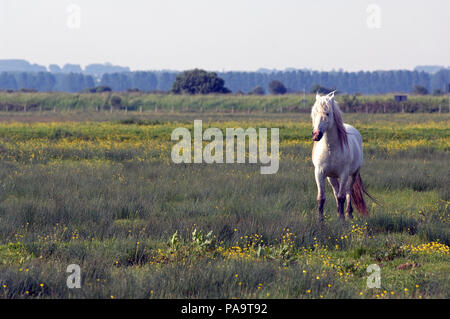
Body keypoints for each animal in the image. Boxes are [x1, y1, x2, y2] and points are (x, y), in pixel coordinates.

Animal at [312, 92, 370, 221]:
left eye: (327, 113)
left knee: (348, 192)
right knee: (336, 192)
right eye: (314, 113)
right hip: (331, 177)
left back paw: (348, 213)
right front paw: (320, 220)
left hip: (353, 175)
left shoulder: (344, 174)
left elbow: (342, 197)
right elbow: (321, 197)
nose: (316, 135)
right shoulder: (319, 173)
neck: (330, 149)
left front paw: (342, 219)